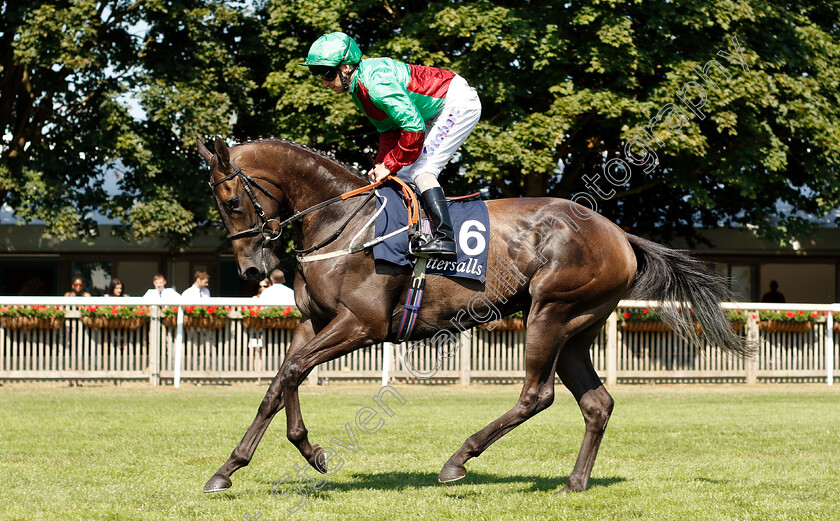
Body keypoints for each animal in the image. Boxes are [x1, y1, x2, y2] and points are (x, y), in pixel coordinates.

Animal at [199, 136, 756, 494]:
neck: (344, 222)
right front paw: (235, 467)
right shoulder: (315, 322)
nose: (252, 269)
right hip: (576, 329)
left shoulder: (362, 324)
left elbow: (293, 371)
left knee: (537, 395)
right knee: (597, 403)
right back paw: (574, 483)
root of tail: (619, 233)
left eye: (231, 200)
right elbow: (280, 382)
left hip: (549, 312)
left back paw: (457, 460)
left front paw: (302, 452)